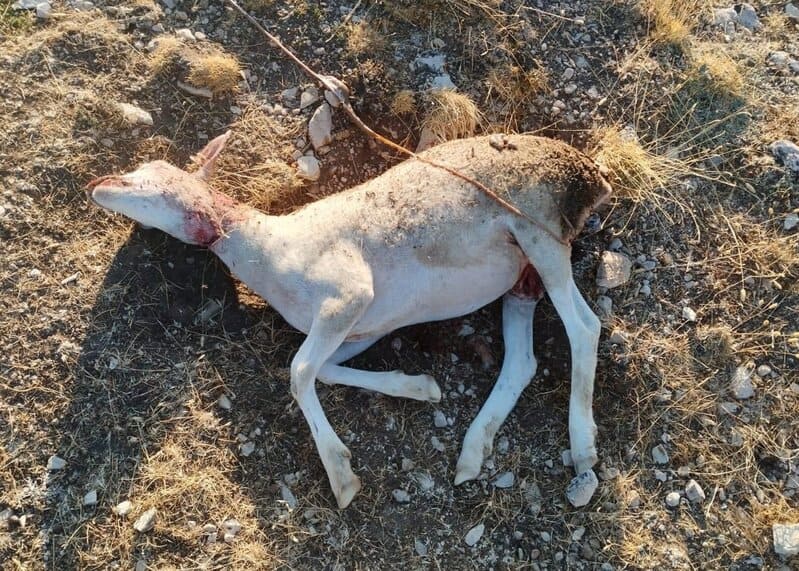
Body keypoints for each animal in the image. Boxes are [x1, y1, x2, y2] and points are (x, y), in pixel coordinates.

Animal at [86, 130, 612, 509]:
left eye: (153, 174)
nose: (98, 184)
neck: (266, 252)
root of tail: (593, 176)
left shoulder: (347, 294)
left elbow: (299, 372)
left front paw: (341, 476)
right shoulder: (362, 326)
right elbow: (325, 370)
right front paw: (419, 386)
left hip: (541, 235)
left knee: (585, 328)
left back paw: (582, 447)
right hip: (521, 279)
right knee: (522, 360)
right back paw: (471, 453)